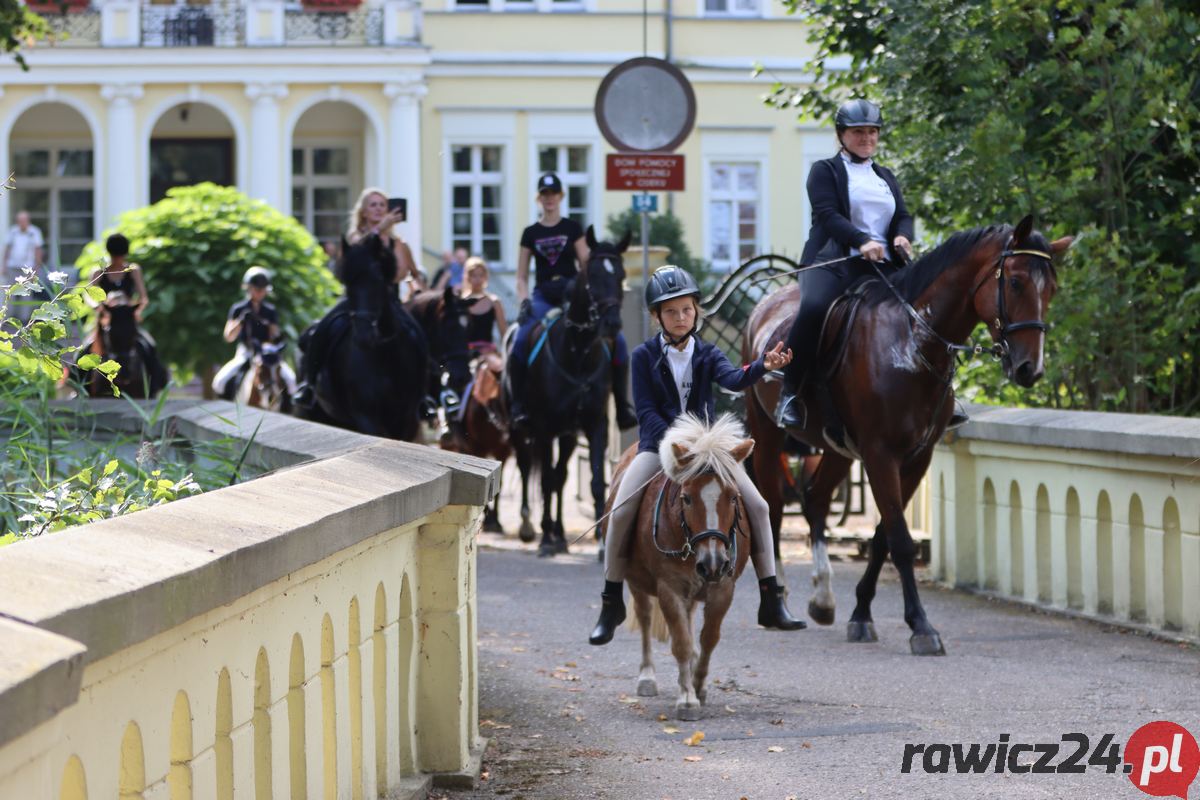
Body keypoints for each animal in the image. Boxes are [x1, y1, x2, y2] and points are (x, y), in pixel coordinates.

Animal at [296, 235, 432, 441]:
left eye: (378, 279)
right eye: (347, 282)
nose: (363, 336)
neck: (387, 355)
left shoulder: (408, 419)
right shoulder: (367, 417)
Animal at [609, 417, 748, 724]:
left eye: (733, 497)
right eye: (686, 498)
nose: (713, 563)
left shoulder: (723, 588)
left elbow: (709, 638)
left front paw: (698, 684)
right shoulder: (669, 588)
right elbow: (680, 642)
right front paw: (687, 699)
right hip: (637, 582)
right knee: (645, 618)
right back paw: (647, 676)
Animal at [744, 215, 1075, 652]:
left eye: (1051, 287)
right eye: (1017, 281)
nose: (1029, 369)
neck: (912, 342)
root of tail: (763, 307)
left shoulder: (918, 456)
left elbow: (885, 536)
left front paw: (861, 614)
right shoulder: (880, 453)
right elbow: (900, 540)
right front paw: (921, 626)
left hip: (838, 448)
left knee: (815, 499)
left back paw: (823, 598)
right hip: (767, 436)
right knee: (775, 507)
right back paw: (779, 604)